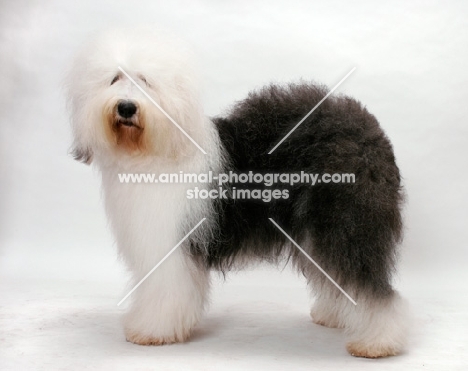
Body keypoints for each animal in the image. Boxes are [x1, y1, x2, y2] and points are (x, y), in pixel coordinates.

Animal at [66, 29, 410, 360]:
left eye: (147, 81)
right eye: (114, 78)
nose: (126, 107)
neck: (156, 148)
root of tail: (367, 127)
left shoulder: (170, 245)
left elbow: (166, 291)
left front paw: (151, 330)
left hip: (346, 223)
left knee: (370, 285)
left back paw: (377, 343)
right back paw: (335, 315)